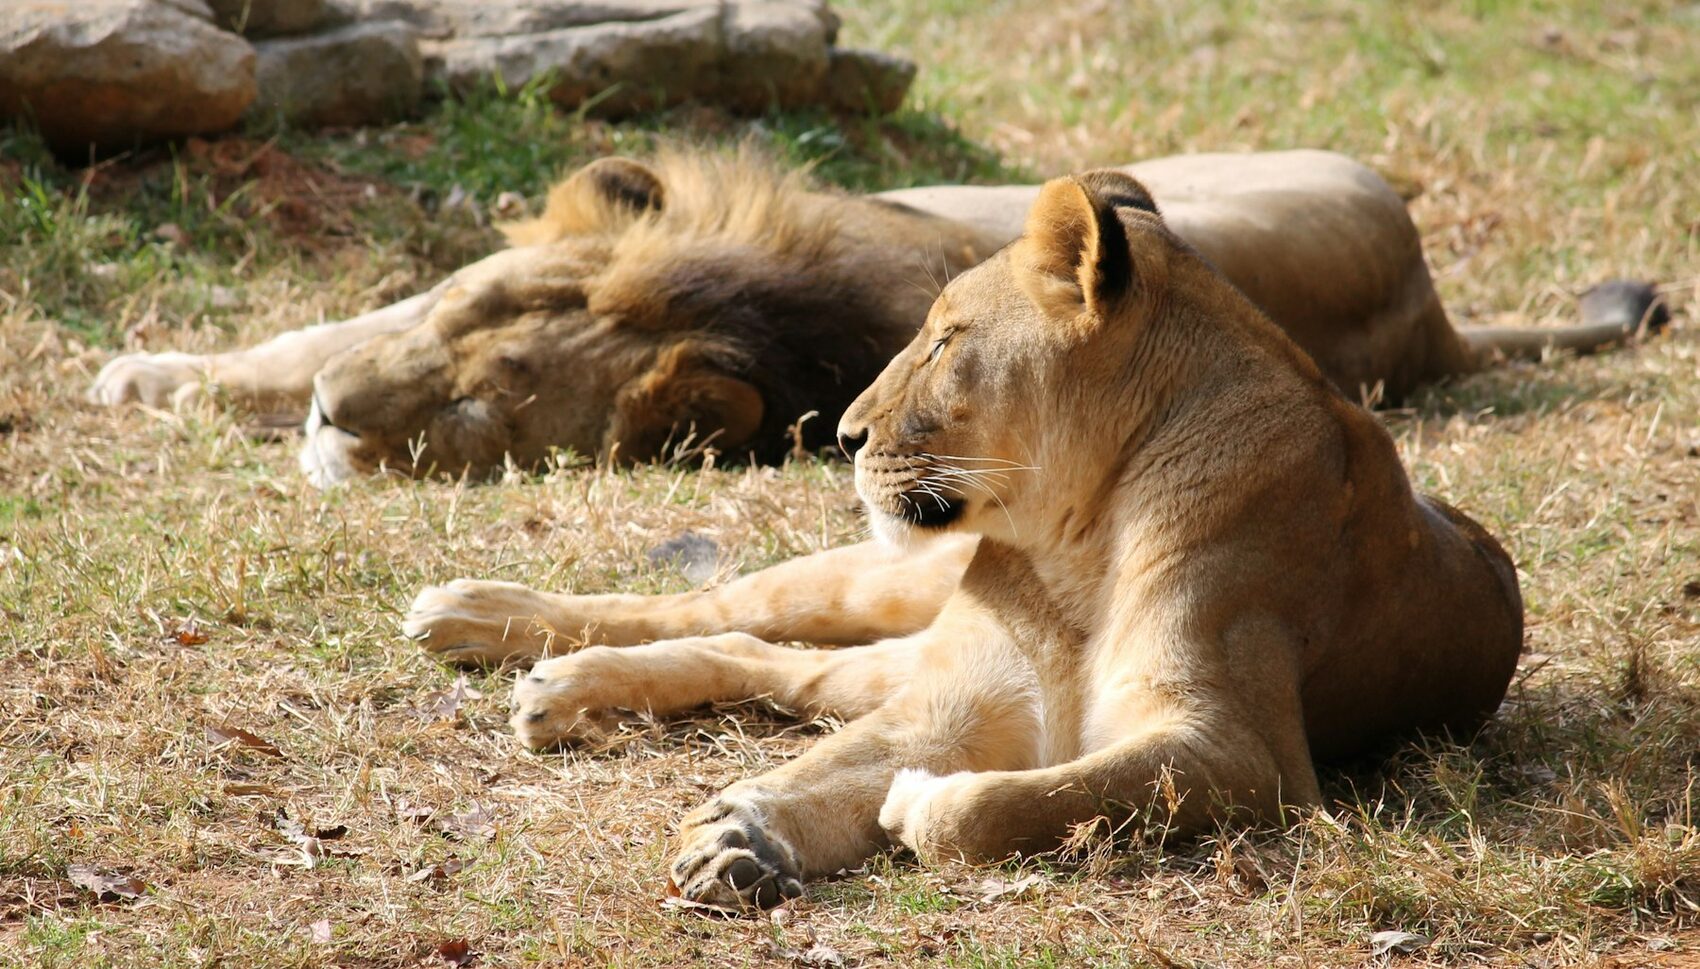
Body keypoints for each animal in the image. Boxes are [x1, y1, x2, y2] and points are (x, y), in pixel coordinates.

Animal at [401, 169, 1526, 909]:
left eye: (944, 341)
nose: (843, 434)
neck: (1080, 539)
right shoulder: (956, 698)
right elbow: (838, 764)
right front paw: (741, 826)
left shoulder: (1241, 749)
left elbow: (1007, 803)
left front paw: (884, 813)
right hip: (886, 586)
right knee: (729, 610)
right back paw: (480, 619)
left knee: (776, 664)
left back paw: (552, 684)